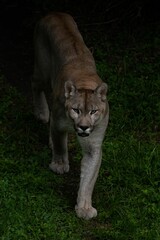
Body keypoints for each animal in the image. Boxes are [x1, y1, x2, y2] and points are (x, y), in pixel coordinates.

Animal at [32, 12, 110, 219]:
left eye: (93, 111)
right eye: (76, 109)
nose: (83, 126)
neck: (85, 82)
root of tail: (55, 13)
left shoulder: (93, 144)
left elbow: (89, 178)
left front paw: (84, 207)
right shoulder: (59, 124)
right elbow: (60, 145)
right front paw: (59, 164)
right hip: (43, 71)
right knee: (35, 84)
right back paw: (41, 112)